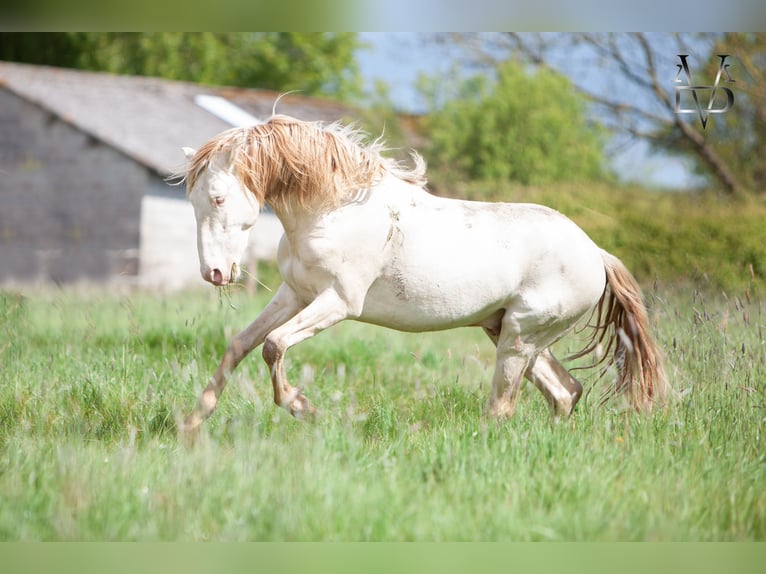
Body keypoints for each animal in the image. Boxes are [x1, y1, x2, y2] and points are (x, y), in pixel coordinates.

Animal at [180, 116, 672, 432]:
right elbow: (241, 345)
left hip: (520, 337)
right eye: (194, 200)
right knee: (566, 391)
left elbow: (273, 345)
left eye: (219, 197)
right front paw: (192, 421)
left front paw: (303, 408)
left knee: (504, 407)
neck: (334, 210)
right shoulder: (294, 294)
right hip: (508, 331)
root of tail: (596, 254)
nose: (214, 273)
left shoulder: (338, 303)